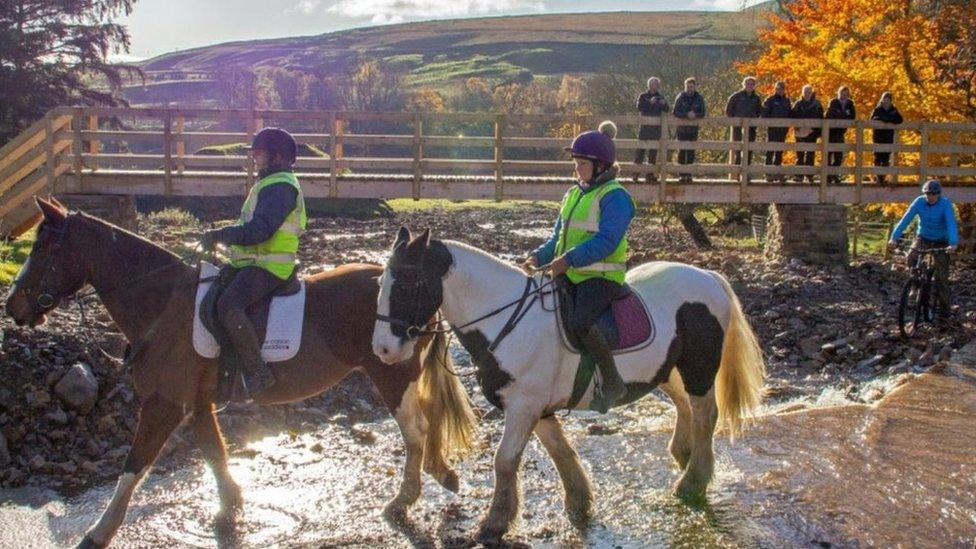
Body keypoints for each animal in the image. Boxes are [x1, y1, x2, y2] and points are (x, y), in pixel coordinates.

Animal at [3, 198, 476, 548]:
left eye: (43, 249)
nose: (14, 307)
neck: (164, 305)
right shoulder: (197, 404)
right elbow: (215, 453)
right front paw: (231, 506)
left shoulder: (164, 404)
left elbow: (134, 465)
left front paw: (99, 531)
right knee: (425, 424)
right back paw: (437, 476)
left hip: (392, 373)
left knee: (415, 430)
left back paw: (403, 499)